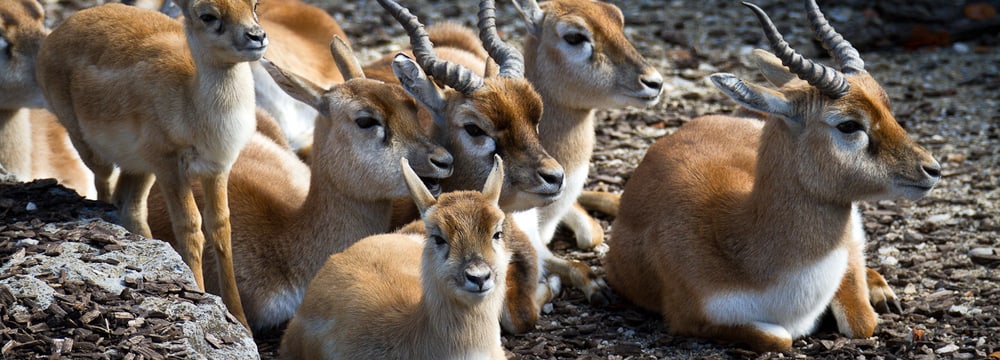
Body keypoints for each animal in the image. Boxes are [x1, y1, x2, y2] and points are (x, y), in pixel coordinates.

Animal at [36, 0, 270, 330]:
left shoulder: (217, 168)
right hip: (94, 149)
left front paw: (240, 319)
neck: (191, 101)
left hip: (140, 166)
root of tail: (57, 31)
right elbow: (189, 226)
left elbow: (221, 226)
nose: (256, 36)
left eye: (255, 5)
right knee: (104, 187)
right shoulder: (169, 167)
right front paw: (199, 293)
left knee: (129, 204)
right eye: (207, 15)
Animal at [604, 0, 940, 350]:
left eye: (888, 107)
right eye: (848, 124)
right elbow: (779, 337)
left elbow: (862, 321)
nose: (931, 169)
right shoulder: (694, 319)